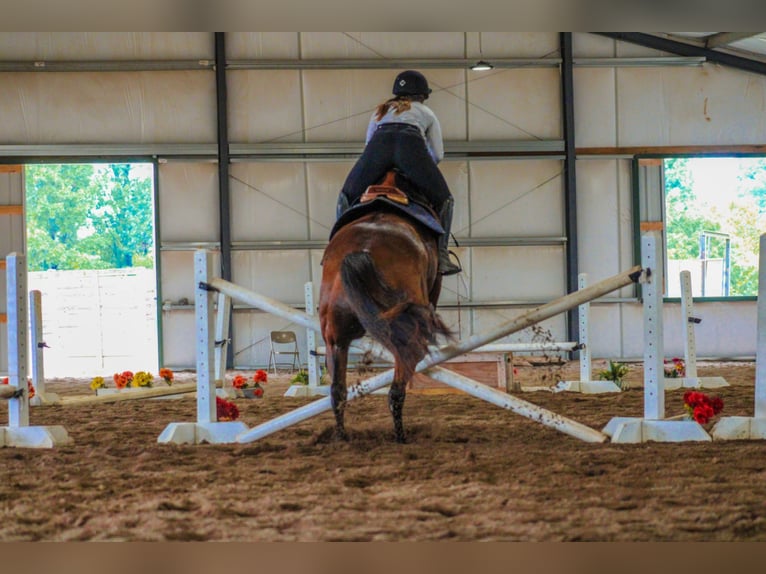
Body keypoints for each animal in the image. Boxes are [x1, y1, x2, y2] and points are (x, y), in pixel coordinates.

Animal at [320, 178, 456, 444]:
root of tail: (363, 250)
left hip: (335, 339)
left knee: (337, 391)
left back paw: (342, 437)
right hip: (407, 333)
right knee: (396, 389)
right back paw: (400, 436)